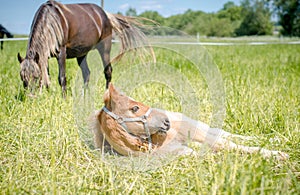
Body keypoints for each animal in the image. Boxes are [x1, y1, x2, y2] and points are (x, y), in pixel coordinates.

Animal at [17, 0, 150, 96]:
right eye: (22, 77)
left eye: (35, 76)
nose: (30, 96)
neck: (51, 21)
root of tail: (105, 14)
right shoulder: (44, 56)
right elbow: (46, 77)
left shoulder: (61, 53)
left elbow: (61, 77)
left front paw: (63, 98)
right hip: (81, 54)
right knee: (87, 73)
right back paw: (84, 95)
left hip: (105, 49)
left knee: (108, 71)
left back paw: (106, 93)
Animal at [90, 84, 290, 160]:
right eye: (134, 108)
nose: (166, 121)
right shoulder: (186, 151)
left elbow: (230, 145)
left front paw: (276, 154)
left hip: (196, 126)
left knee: (226, 135)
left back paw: (275, 140)